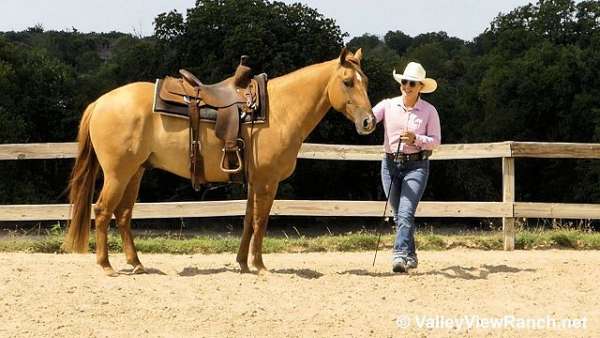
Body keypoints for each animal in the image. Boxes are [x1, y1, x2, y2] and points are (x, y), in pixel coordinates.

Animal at [65, 46, 376, 274]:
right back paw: (106, 265)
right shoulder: (267, 181)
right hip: (118, 173)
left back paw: (136, 263)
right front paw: (260, 266)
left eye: (366, 82)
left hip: (135, 172)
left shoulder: (254, 181)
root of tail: (101, 102)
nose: (369, 122)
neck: (280, 110)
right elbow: (261, 220)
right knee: (103, 210)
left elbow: (248, 219)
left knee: (123, 214)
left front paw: (243, 263)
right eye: (348, 82)